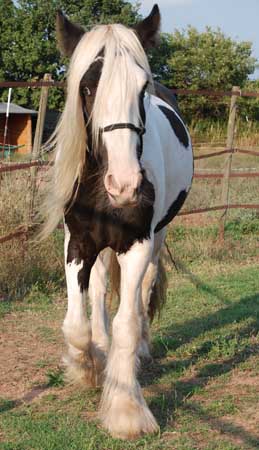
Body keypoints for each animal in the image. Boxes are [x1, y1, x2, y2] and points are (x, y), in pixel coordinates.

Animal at [41, 3, 194, 440]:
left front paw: (126, 410)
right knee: (97, 291)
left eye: (142, 89)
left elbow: (127, 319)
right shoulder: (77, 243)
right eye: (87, 88)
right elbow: (76, 322)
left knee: (143, 290)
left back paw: (139, 349)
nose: (125, 185)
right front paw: (87, 367)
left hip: (157, 237)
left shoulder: (137, 243)